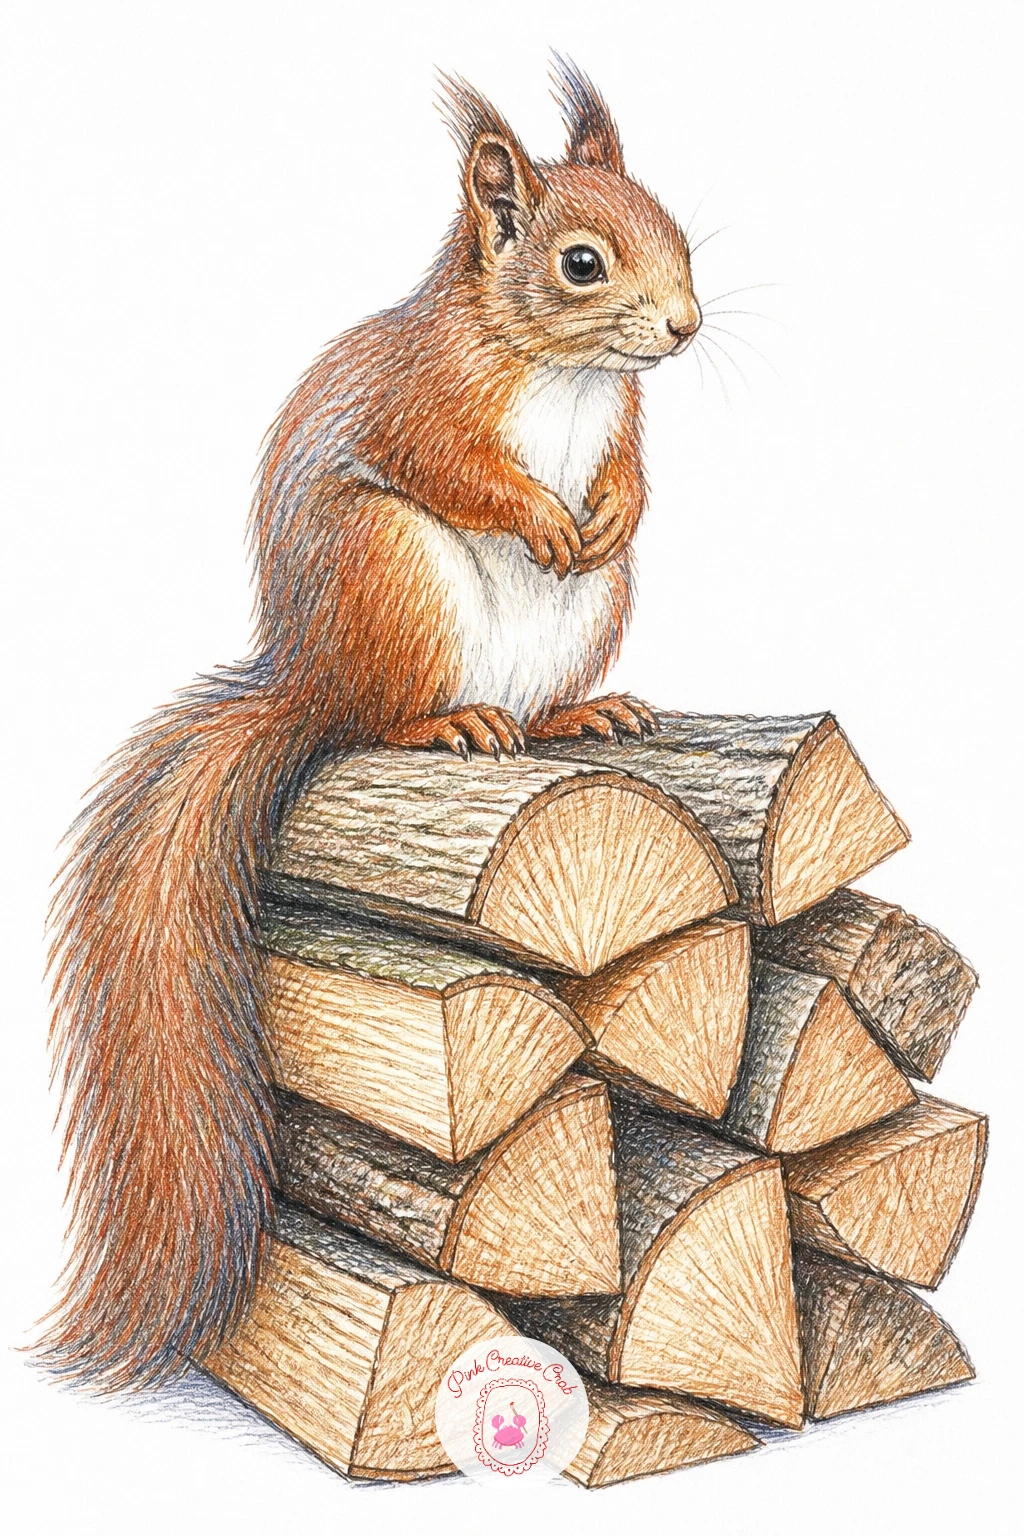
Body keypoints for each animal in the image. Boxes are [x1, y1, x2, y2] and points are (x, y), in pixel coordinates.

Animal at [41, 60, 701, 1388]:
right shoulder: (423, 406)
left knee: (542, 690)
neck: (561, 373)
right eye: (581, 264)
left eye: (679, 232)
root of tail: (309, 678)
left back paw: (576, 714)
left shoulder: (622, 425)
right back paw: (446, 727)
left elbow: (631, 479)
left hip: (589, 610)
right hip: (390, 570)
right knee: (379, 716)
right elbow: (455, 467)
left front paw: (606, 509)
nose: (683, 327)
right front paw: (537, 516)